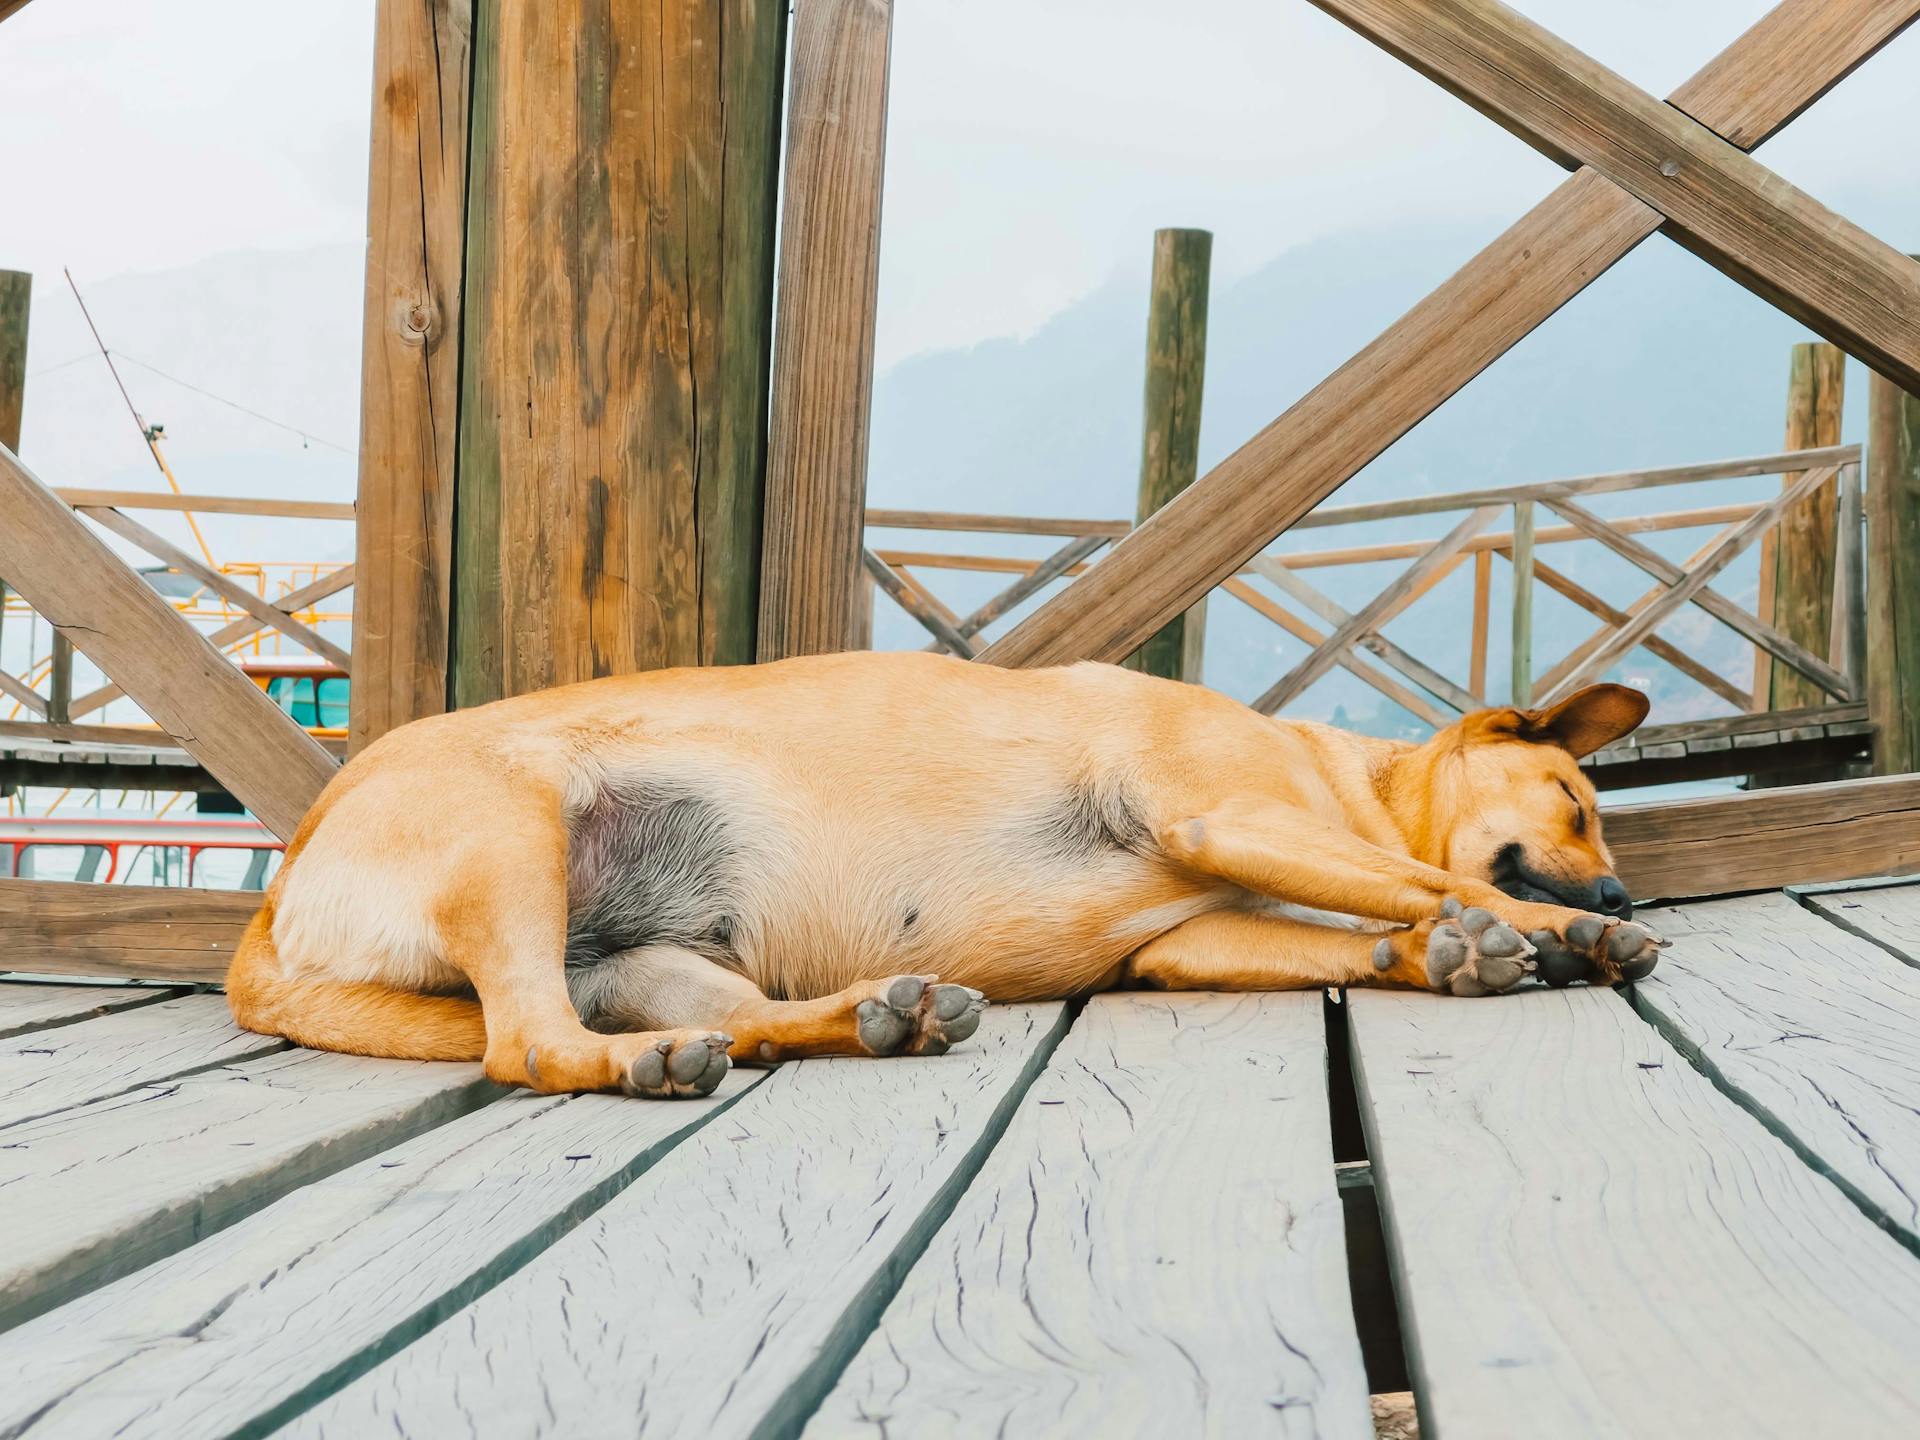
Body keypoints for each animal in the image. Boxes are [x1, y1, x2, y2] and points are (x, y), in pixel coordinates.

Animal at [228, 656, 1666, 1105]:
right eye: (1581, 805)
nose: (1620, 900)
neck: (1341, 775)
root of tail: (272, 906)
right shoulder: (1231, 817)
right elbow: (1417, 882)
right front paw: (1550, 934)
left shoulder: (1191, 935)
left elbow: (1375, 922)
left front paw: (1454, 952)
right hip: (512, 836)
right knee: (524, 1042)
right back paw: (642, 1067)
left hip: (657, 955)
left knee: (734, 1017)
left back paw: (875, 1018)